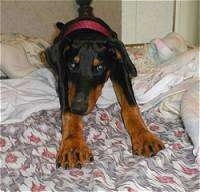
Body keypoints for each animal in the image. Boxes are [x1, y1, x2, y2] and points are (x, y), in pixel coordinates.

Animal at [44, 0, 164, 168]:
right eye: (72, 65)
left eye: (100, 68)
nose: (79, 107)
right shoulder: (63, 75)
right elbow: (68, 112)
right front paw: (73, 145)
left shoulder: (119, 67)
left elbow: (130, 105)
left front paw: (144, 136)